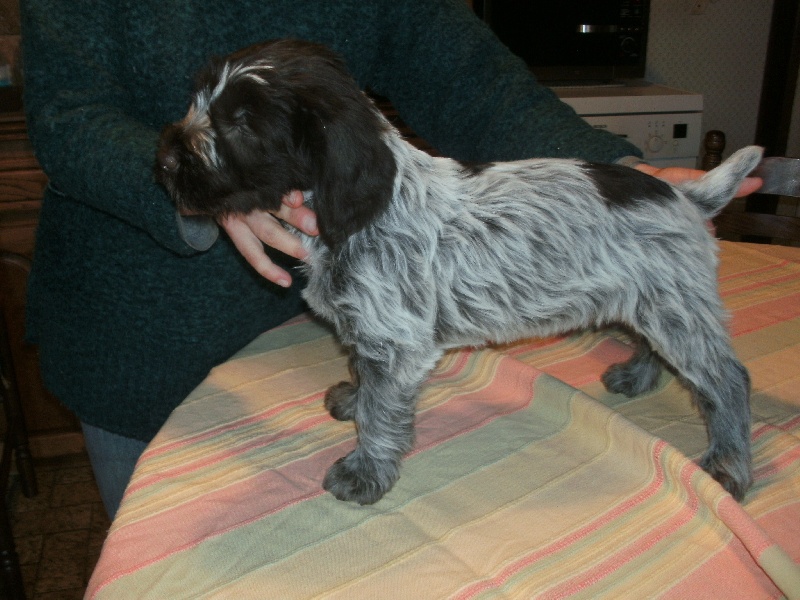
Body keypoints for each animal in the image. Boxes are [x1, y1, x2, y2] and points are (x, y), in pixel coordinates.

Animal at [157, 39, 761, 505]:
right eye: (198, 99)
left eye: (241, 123)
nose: (162, 161)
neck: (354, 215)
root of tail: (686, 194)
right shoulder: (374, 336)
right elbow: (367, 383)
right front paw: (355, 401)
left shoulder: (396, 342)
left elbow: (382, 414)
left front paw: (365, 471)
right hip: (650, 301)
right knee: (656, 347)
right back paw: (637, 377)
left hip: (674, 306)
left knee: (728, 381)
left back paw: (728, 464)